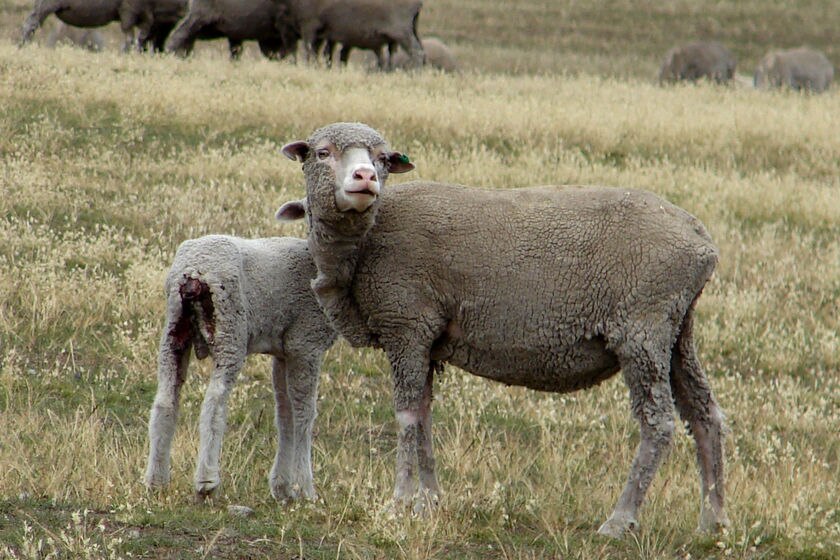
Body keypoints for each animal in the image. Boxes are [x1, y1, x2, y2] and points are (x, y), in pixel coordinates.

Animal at [146, 234, 336, 500]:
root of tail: (194, 271)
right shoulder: (305, 344)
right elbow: (304, 415)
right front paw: (305, 489)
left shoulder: (283, 352)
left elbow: (284, 414)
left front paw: (283, 488)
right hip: (230, 331)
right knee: (214, 402)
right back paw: (207, 481)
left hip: (173, 330)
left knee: (165, 400)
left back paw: (156, 480)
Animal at [278, 122, 732, 540]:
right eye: (322, 153)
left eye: (383, 160)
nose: (365, 177)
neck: (362, 245)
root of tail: (701, 240)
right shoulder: (427, 339)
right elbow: (423, 416)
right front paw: (429, 501)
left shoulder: (407, 325)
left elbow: (406, 416)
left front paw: (399, 503)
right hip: (676, 330)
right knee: (705, 416)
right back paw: (713, 521)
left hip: (642, 327)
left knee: (659, 422)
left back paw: (620, 520)